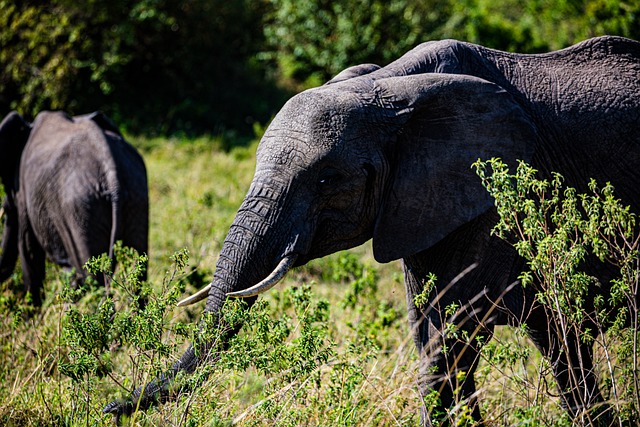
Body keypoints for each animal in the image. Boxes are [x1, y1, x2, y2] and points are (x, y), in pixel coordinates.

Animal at [0, 111, 148, 308]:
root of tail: (112, 174)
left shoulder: (24, 191)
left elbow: (28, 250)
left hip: (81, 209)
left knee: (93, 278)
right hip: (135, 196)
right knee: (137, 273)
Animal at [105, 35, 640, 426]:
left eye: (325, 180)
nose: (109, 407)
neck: (389, 88)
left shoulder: (492, 195)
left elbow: (450, 342)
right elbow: (433, 335)